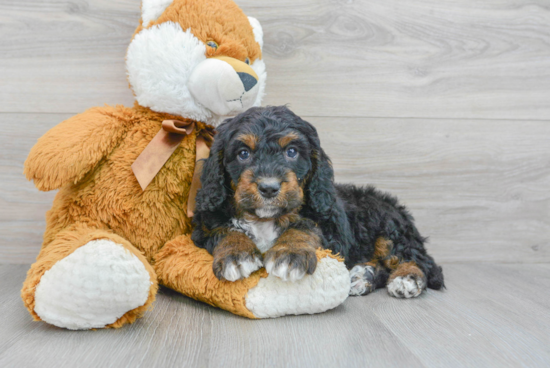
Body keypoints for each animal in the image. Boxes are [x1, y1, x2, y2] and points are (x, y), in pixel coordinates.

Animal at [192, 105, 446, 298]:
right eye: (243, 154)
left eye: (291, 152)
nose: (269, 187)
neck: (265, 218)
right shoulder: (204, 225)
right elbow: (225, 229)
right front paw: (236, 254)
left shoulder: (329, 226)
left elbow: (304, 226)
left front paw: (290, 253)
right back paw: (361, 276)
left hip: (389, 226)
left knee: (420, 260)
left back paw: (407, 278)